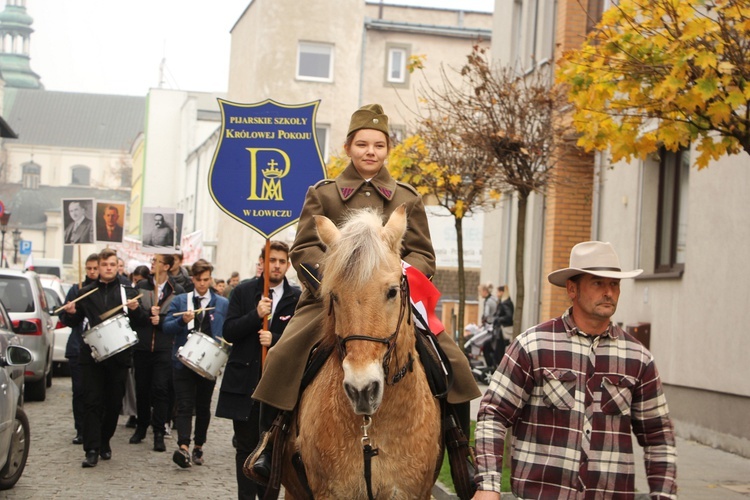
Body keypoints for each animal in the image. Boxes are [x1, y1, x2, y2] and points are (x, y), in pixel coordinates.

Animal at [284, 205, 446, 498]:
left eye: (392, 291)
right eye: (334, 296)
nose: (362, 389)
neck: (373, 424)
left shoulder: (408, 491)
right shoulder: (333, 492)